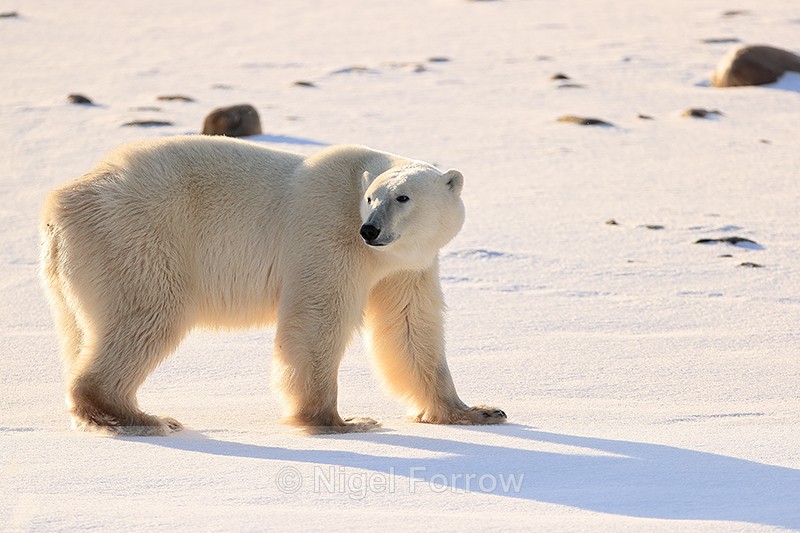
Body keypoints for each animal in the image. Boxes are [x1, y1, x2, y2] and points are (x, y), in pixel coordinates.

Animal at [39, 135, 507, 436]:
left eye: (403, 197)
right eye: (371, 197)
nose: (370, 230)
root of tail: (58, 206)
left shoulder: (407, 268)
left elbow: (410, 329)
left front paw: (477, 411)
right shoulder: (327, 234)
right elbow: (318, 318)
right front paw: (341, 421)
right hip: (140, 238)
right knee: (151, 313)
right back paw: (143, 418)